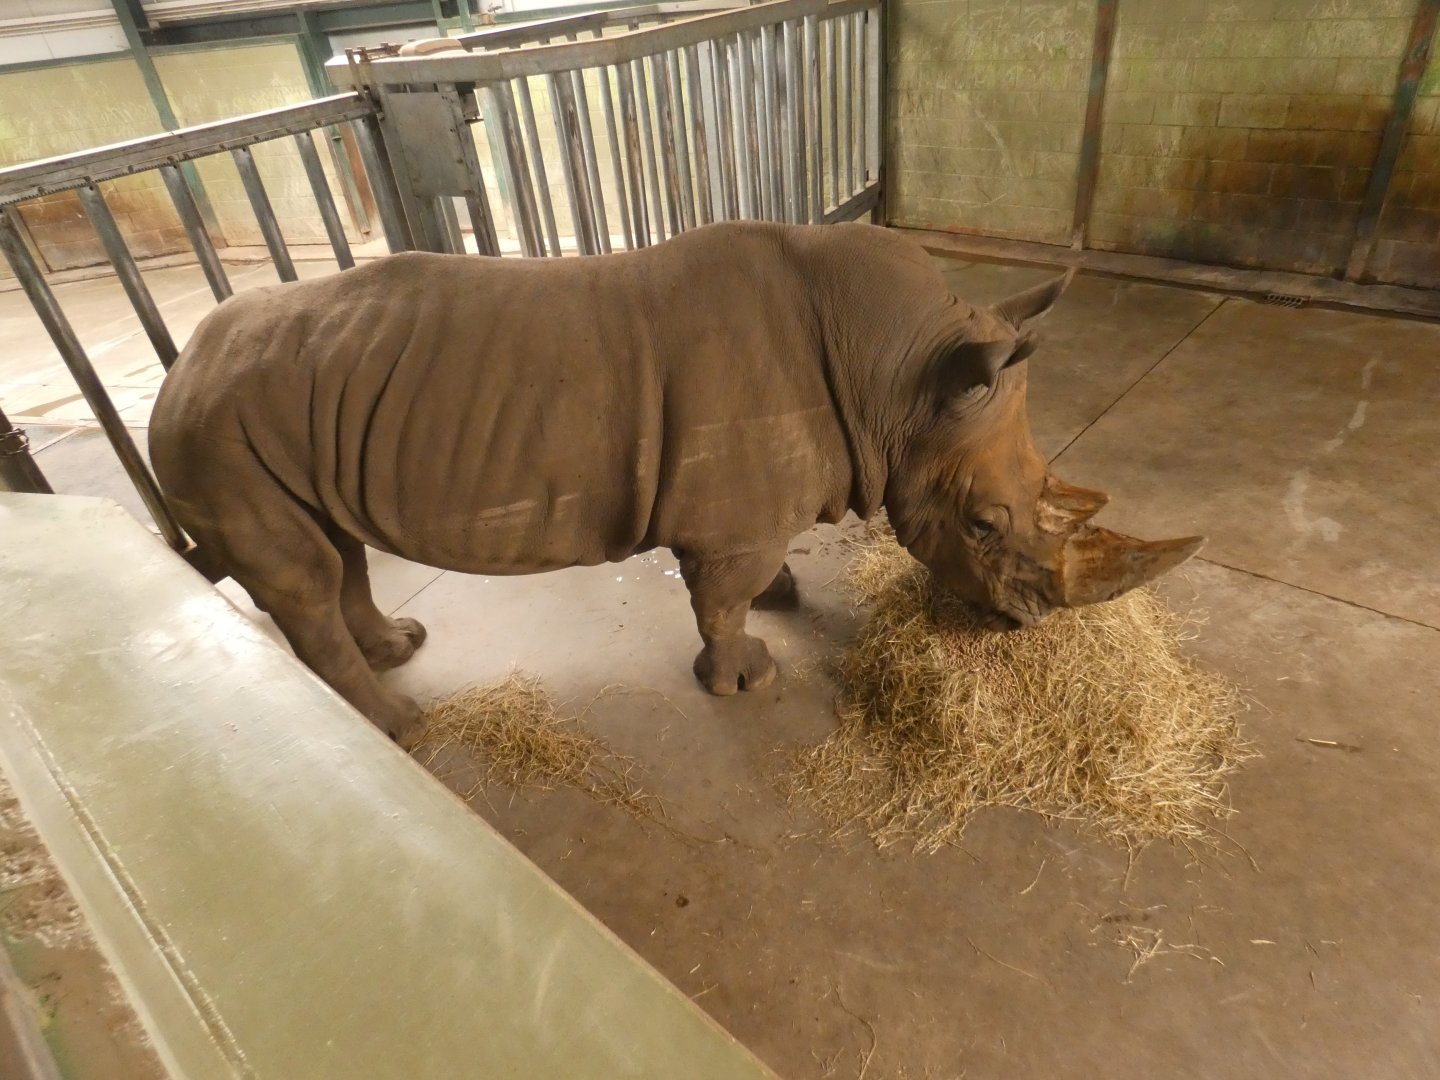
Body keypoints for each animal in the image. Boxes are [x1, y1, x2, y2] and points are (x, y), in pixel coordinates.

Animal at [150, 222, 1202, 746]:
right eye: (983, 525)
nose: (1028, 625)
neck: (900, 376)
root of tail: (178, 368)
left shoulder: (750, 509)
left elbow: (752, 574)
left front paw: (785, 595)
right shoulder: (730, 522)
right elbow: (723, 597)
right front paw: (745, 679)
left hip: (264, 417)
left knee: (336, 547)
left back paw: (399, 648)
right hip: (213, 430)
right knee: (302, 574)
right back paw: (400, 729)